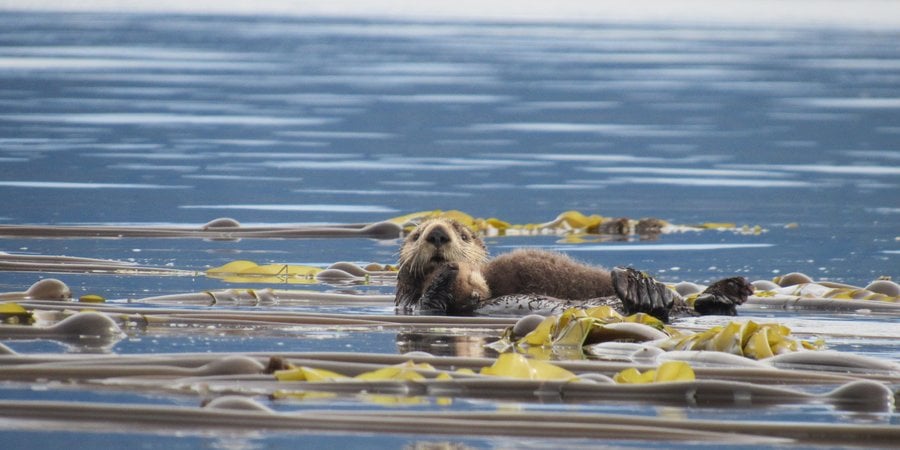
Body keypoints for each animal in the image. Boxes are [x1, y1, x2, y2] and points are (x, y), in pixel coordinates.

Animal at [395, 217, 751, 322]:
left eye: (463, 235)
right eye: (415, 235)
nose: (436, 233)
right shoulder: (415, 306)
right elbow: (431, 302)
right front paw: (448, 273)